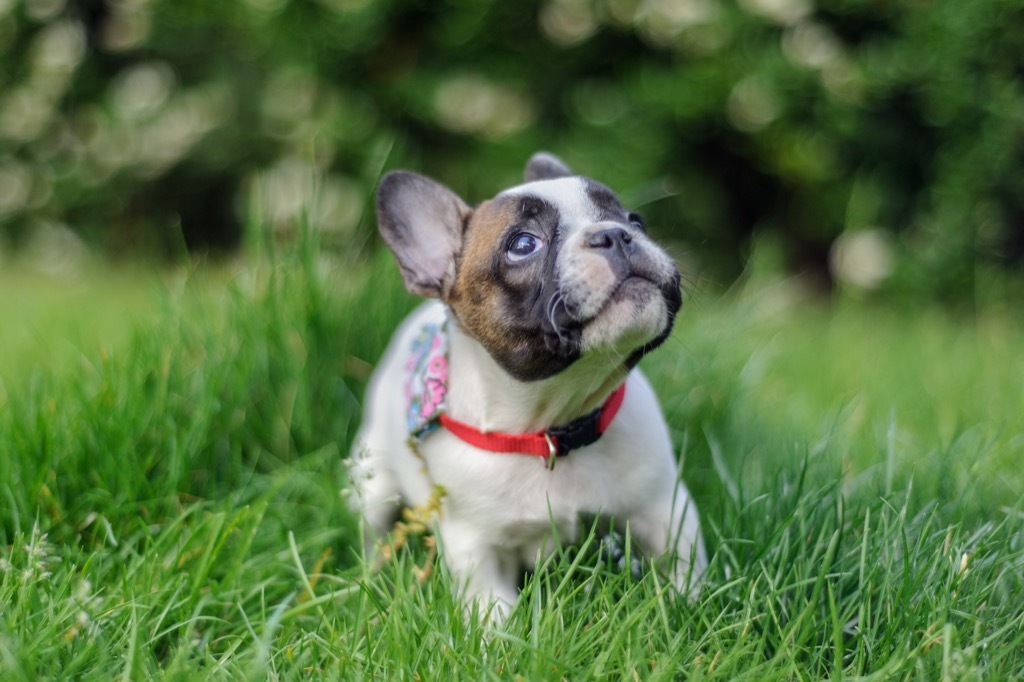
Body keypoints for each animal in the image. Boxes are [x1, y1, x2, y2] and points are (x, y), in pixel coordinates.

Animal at [350, 151, 704, 618]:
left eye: (635, 219)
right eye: (522, 245)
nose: (614, 234)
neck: (551, 426)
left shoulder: (666, 507)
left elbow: (685, 566)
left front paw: (693, 606)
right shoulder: (476, 550)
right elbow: (493, 610)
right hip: (371, 482)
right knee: (372, 530)